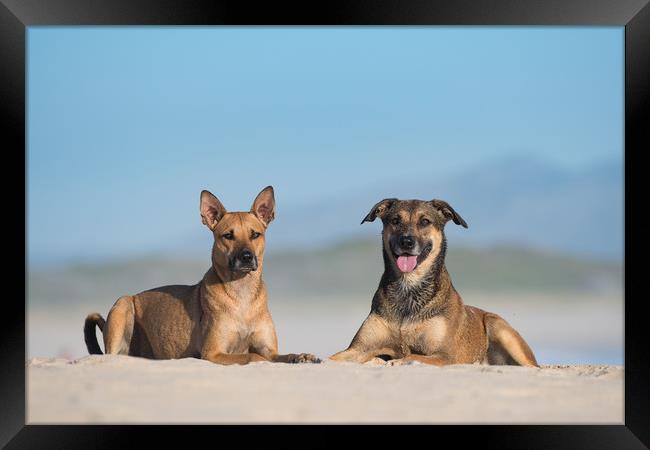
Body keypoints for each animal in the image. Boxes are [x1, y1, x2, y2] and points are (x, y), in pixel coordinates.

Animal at [83, 186, 318, 366]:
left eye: (255, 235)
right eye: (228, 236)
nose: (246, 257)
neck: (241, 293)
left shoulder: (269, 348)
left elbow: (278, 355)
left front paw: (302, 356)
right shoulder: (213, 353)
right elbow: (253, 356)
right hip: (123, 305)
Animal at [330, 198, 536, 366]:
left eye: (425, 221)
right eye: (395, 220)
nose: (406, 241)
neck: (409, 287)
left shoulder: (445, 355)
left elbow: (411, 356)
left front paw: (395, 361)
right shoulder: (359, 349)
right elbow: (332, 358)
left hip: (499, 327)